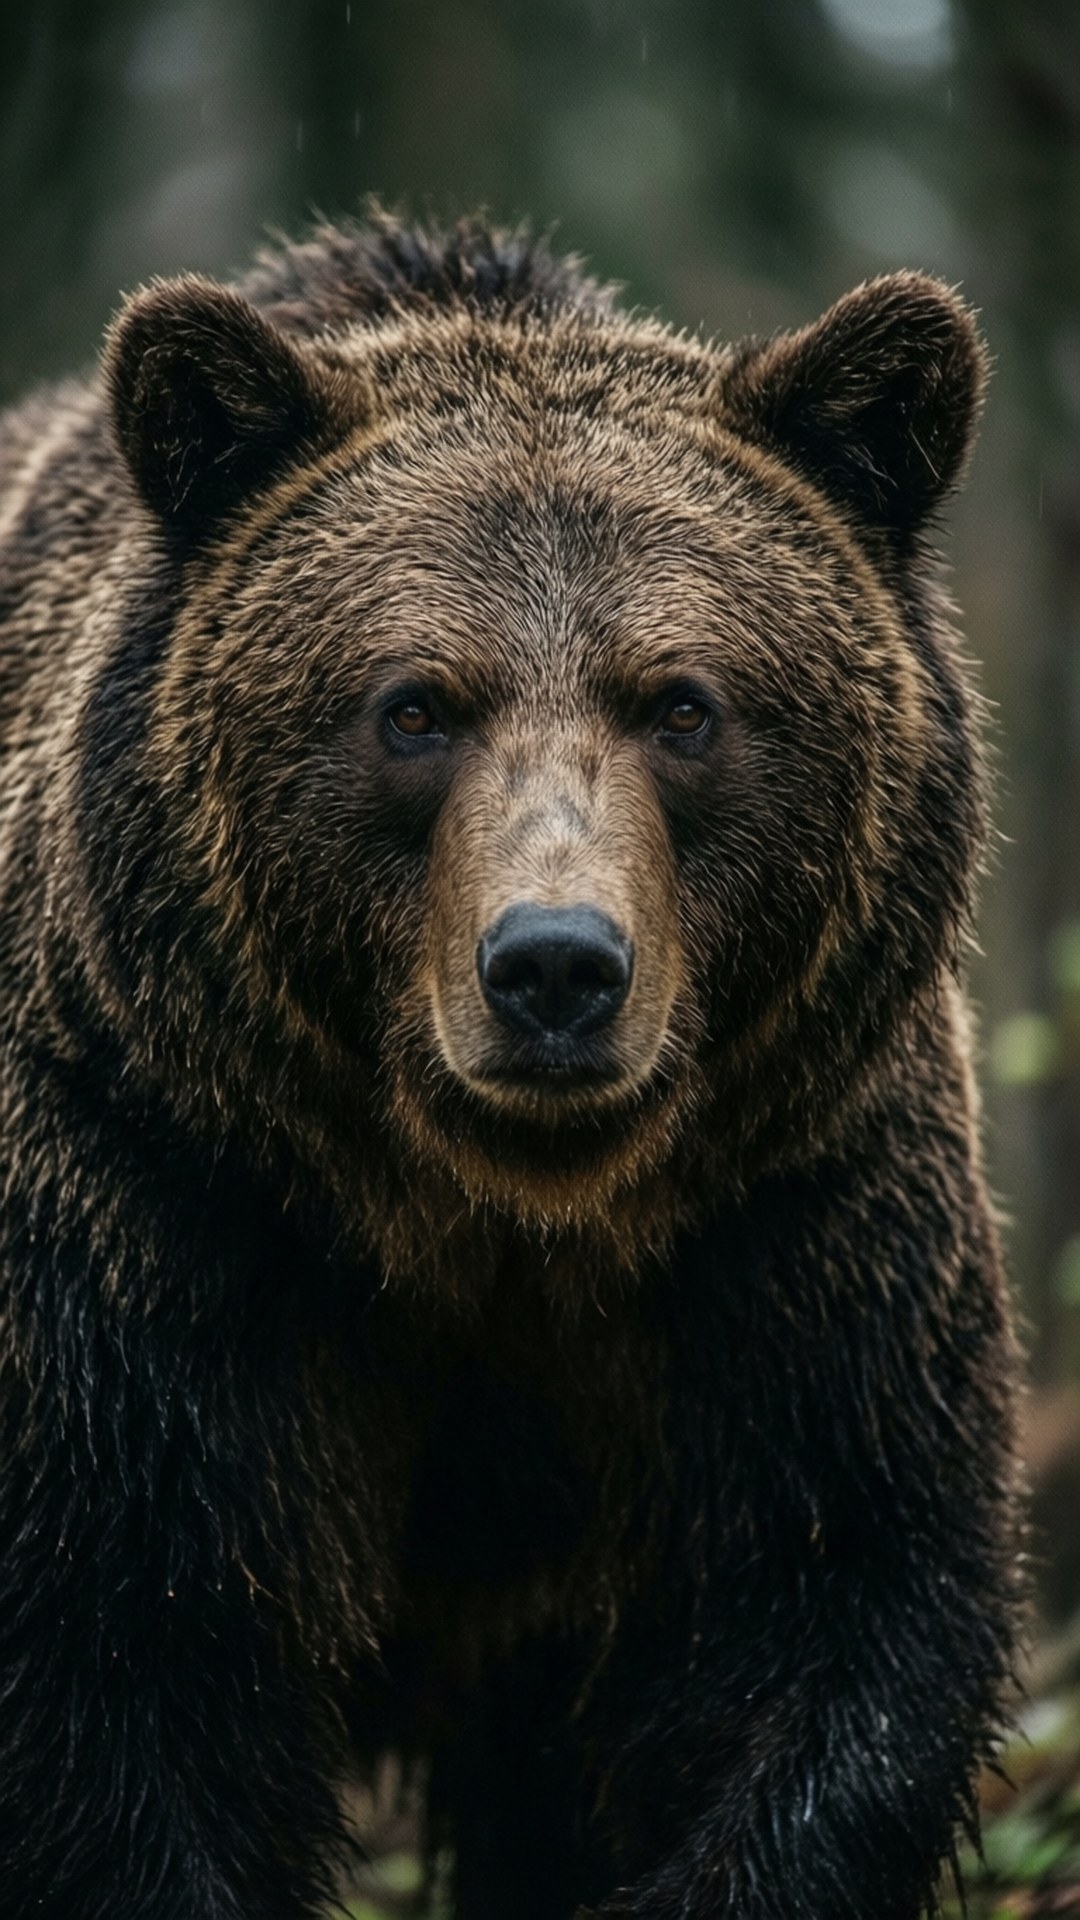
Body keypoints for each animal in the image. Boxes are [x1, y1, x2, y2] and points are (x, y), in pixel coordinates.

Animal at [0, 208, 1021, 1920]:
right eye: (413, 705)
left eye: (684, 704)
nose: (554, 967)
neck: (488, 1215)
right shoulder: (150, 1204)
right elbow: (123, 1667)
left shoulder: (792, 1226)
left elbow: (829, 1619)